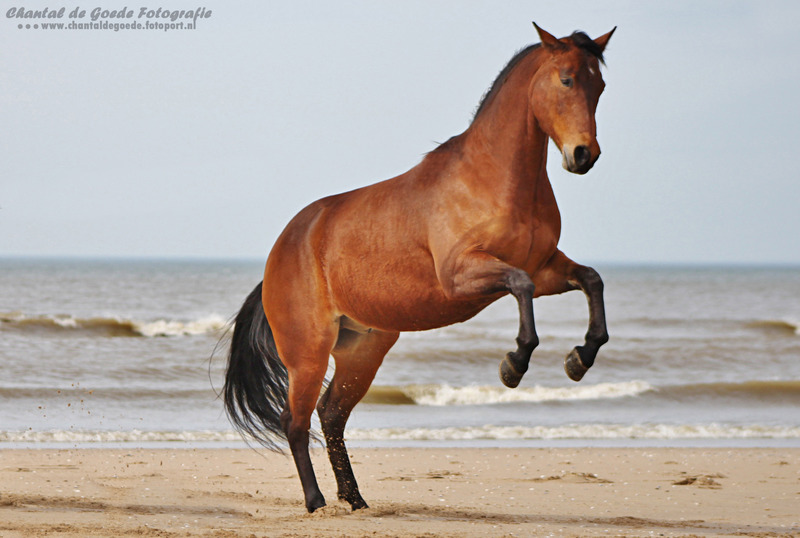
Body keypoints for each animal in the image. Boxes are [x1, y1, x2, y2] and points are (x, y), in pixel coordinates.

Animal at [223, 23, 615, 513]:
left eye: (599, 86)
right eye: (566, 79)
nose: (584, 155)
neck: (495, 181)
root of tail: (281, 253)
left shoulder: (546, 268)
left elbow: (591, 280)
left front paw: (580, 358)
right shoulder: (464, 276)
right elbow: (520, 286)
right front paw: (514, 364)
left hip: (363, 350)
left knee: (331, 414)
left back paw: (355, 499)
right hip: (308, 352)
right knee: (294, 421)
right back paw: (317, 502)